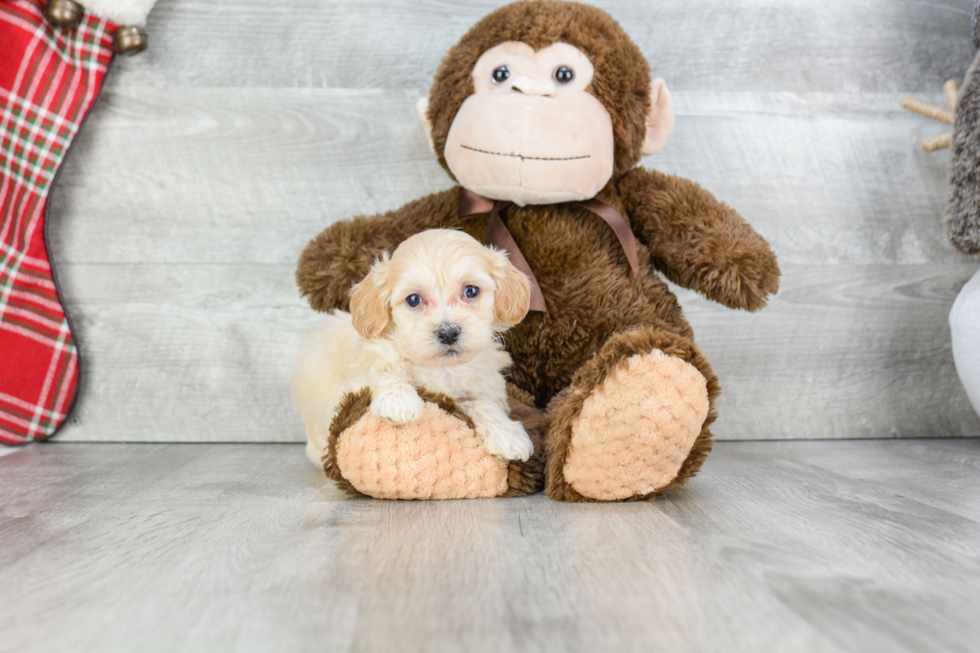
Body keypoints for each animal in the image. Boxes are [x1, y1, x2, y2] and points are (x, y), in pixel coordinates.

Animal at [294, 227, 532, 466]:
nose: (448, 332)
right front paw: (398, 402)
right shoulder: (362, 372)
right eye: (414, 299)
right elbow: (382, 369)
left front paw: (507, 434)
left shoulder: (485, 385)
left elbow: (483, 403)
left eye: (471, 291)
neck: (442, 368)